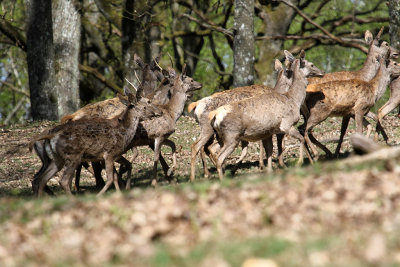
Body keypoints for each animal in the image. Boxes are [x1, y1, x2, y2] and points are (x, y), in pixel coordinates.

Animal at [29, 88, 161, 197]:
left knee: (40, 179)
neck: (124, 131)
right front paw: (100, 195)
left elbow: (115, 176)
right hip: (73, 156)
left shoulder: (110, 156)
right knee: (63, 180)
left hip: (56, 159)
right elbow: (110, 178)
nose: (157, 113)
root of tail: (51, 135)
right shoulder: (109, 153)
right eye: (146, 105)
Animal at [208, 50, 324, 180]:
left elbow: (270, 149)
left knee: (212, 148)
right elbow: (300, 138)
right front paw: (299, 162)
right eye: (312, 64)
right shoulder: (286, 124)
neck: (293, 100)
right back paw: (223, 179)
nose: (322, 72)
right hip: (232, 136)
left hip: (222, 136)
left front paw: (269, 170)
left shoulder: (268, 132)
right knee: (219, 157)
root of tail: (215, 115)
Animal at [302, 26, 398, 159]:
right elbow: (344, 130)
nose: (397, 52)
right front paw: (338, 152)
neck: (366, 77)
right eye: (386, 44)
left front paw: (386, 140)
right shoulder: (350, 108)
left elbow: (373, 118)